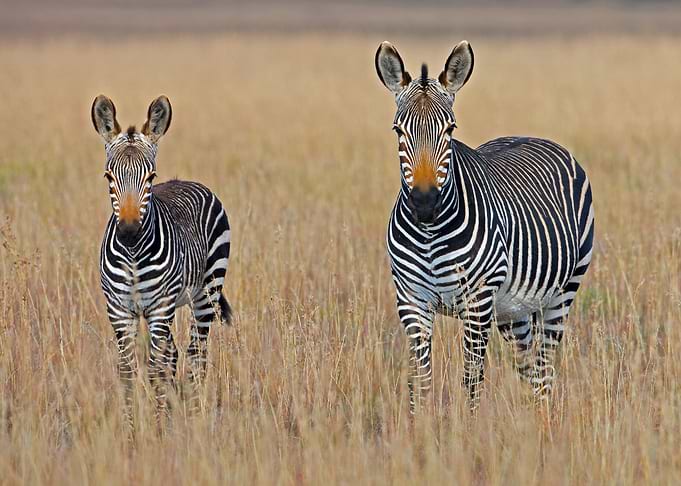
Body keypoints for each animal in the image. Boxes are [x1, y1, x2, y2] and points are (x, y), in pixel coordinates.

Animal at [91, 95, 232, 428]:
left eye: (150, 177)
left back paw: (194, 418)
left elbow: (155, 370)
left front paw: (157, 431)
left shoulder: (159, 308)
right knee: (175, 355)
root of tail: (187, 181)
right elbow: (128, 372)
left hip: (206, 294)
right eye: (108, 177)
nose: (129, 232)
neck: (132, 255)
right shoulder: (119, 310)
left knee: (196, 356)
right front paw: (131, 432)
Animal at [375, 41, 594, 413]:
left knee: (545, 369)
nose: (424, 203)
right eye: (398, 131)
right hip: (513, 310)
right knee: (529, 367)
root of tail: (532, 136)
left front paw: (468, 427)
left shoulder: (477, 301)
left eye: (450, 129)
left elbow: (471, 380)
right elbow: (420, 383)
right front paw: (417, 428)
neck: (430, 234)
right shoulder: (411, 301)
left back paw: (544, 422)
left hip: (562, 293)